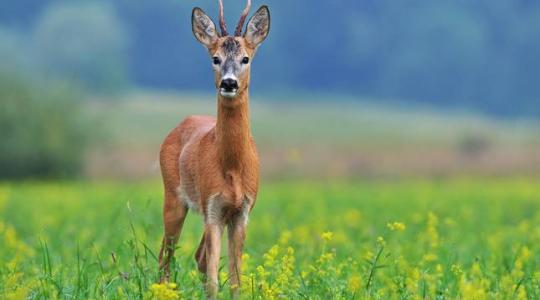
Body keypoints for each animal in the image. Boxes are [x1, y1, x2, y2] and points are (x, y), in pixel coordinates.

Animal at [157, 0, 270, 298]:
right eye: (215, 58)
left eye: (246, 58)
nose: (229, 83)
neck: (232, 167)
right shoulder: (212, 208)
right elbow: (213, 281)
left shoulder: (241, 212)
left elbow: (235, 280)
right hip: (174, 197)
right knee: (166, 256)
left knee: (196, 257)